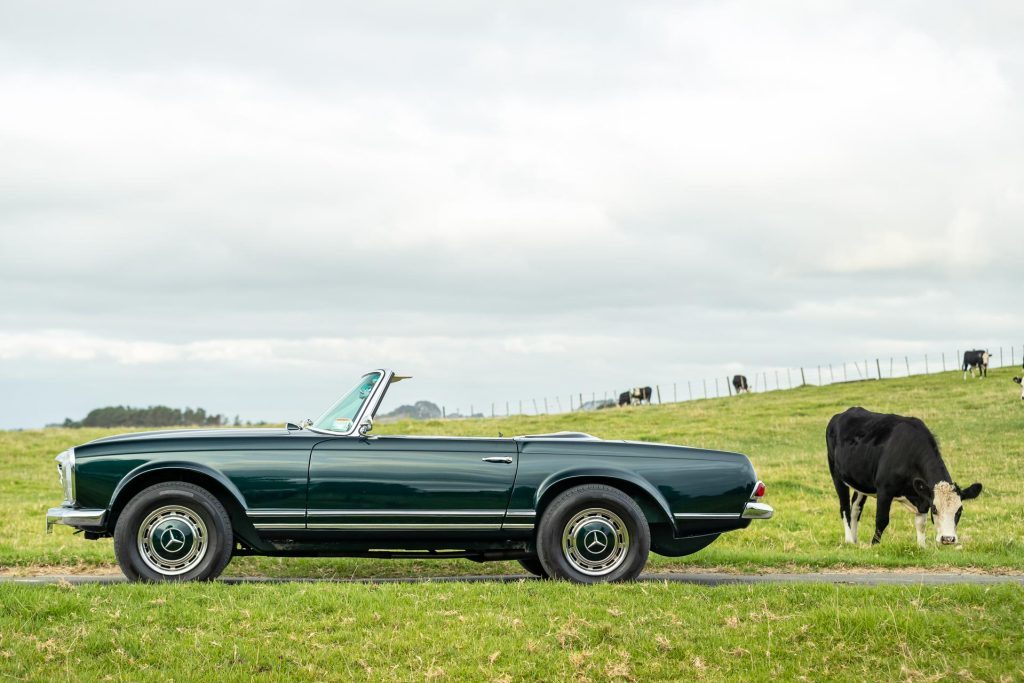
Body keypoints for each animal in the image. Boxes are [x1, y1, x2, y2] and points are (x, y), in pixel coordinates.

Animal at [823, 409, 983, 548]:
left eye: (959, 510)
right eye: (935, 509)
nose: (948, 539)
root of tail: (841, 415)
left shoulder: (922, 497)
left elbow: (921, 524)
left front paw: (922, 547)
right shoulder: (884, 490)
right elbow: (881, 520)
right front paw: (874, 545)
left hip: (861, 482)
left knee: (856, 508)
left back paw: (855, 541)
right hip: (836, 475)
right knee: (845, 508)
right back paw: (849, 540)